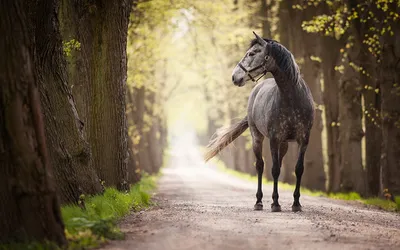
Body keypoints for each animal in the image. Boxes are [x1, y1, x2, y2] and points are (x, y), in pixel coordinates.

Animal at [205, 31, 314, 213]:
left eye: (252, 53)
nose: (235, 77)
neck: (292, 99)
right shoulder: (274, 139)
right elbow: (274, 170)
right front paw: (275, 203)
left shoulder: (303, 140)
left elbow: (298, 169)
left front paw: (296, 203)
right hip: (258, 138)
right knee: (260, 166)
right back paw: (259, 201)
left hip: (284, 144)